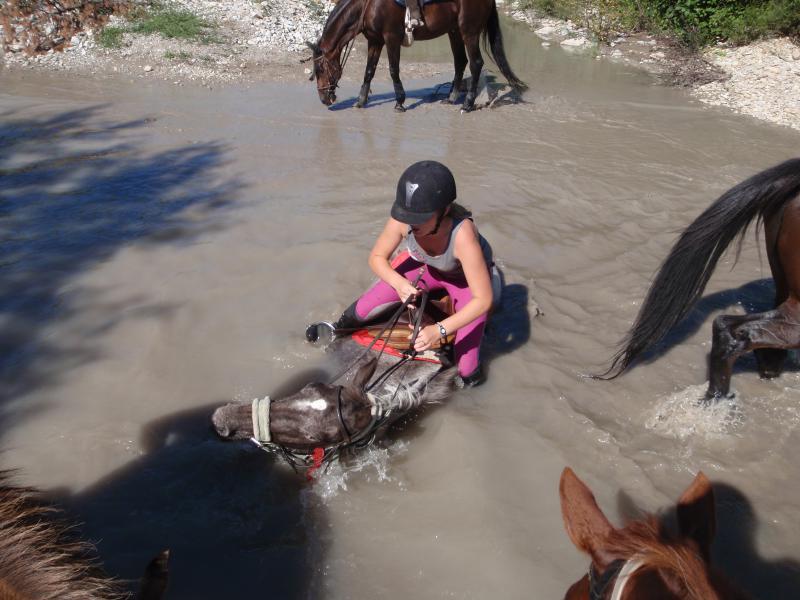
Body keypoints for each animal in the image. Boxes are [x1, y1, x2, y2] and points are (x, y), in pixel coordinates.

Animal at [310, 0, 528, 111]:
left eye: (320, 69)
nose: (323, 99)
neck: (369, 5)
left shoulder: (391, 38)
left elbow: (393, 70)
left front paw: (400, 102)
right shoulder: (375, 40)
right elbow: (369, 71)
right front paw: (361, 101)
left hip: (469, 32)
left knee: (475, 63)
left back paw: (467, 104)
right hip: (454, 31)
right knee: (460, 62)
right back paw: (451, 98)